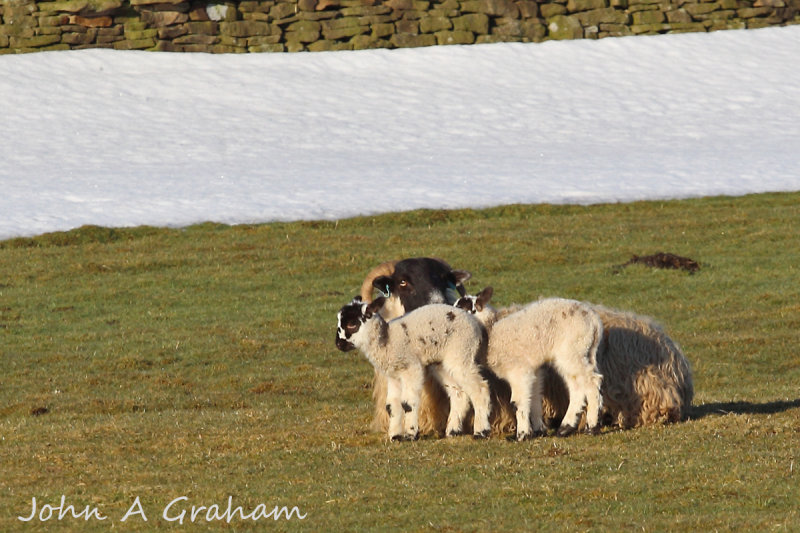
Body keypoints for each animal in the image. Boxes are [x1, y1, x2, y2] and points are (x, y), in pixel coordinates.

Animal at [332, 296, 494, 440]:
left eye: (352, 324)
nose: (338, 344)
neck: (387, 340)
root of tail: (477, 325)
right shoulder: (394, 375)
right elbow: (391, 405)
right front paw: (395, 436)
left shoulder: (411, 368)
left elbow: (408, 403)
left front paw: (410, 435)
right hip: (442, 363)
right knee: (458, 393)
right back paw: (453, 431)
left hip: (462, 352)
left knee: (480, 389)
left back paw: (481, 432)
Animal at [454, 288, 604, 438]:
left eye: (463, 308)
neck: (491, 332)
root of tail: (595, 322)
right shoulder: (533, 370)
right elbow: (534, 398)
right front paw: (538, 430)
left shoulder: (518, 370)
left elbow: (518, 402)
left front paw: (522, 434)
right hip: (579, 352)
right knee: (577, 386)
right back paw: (565, 427)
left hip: (572, 350)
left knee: (592, 381)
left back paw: (592, 427)